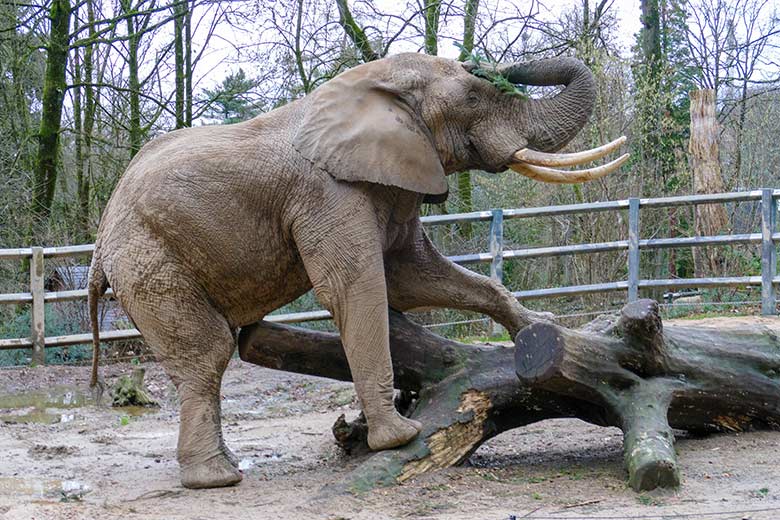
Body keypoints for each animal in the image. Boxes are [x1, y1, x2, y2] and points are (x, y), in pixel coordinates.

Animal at [90, 54, 628, 490]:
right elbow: (358, 289)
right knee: (208, 353)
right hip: (149, 262)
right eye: (473, 96)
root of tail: (99, 244)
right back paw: (217, 479)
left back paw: (226, 466)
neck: (373, 84)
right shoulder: (327, 194)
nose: (486, 64)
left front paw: (542, 332)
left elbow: (414, 278)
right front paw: (400, 437)